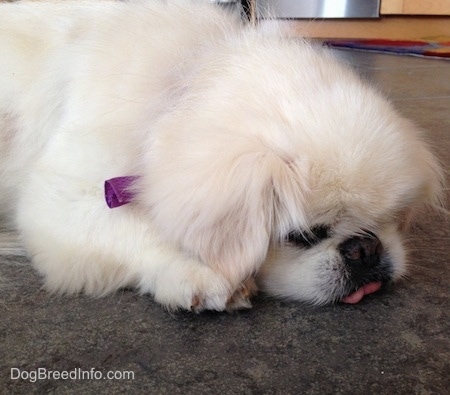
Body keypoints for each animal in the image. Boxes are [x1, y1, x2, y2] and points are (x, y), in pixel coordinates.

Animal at [0, 2, 442, 312]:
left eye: (389, 220)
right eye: (305, 236)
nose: (366, 248)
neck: (183, 82)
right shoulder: (62, 197)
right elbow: (138, 230)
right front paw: (199, 272)